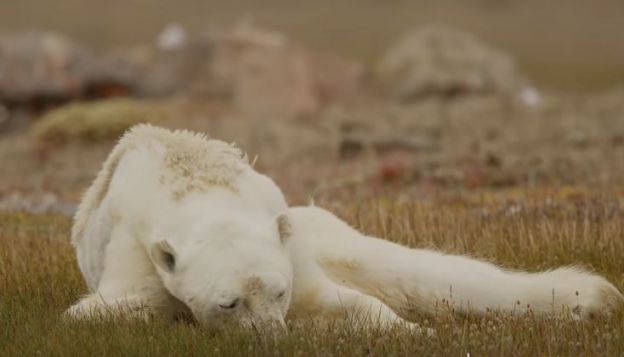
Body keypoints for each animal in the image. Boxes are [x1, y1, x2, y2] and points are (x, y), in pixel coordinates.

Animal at [66, 124, 620, 328]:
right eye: (229, 302)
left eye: (279, 292)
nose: (274, 334)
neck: (196, 185)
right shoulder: (135, 252)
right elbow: (98, 312)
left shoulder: (288, 246)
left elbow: (342, 298)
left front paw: (411, 331)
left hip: (323, 227)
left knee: (408, 269)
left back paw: (591, 296)